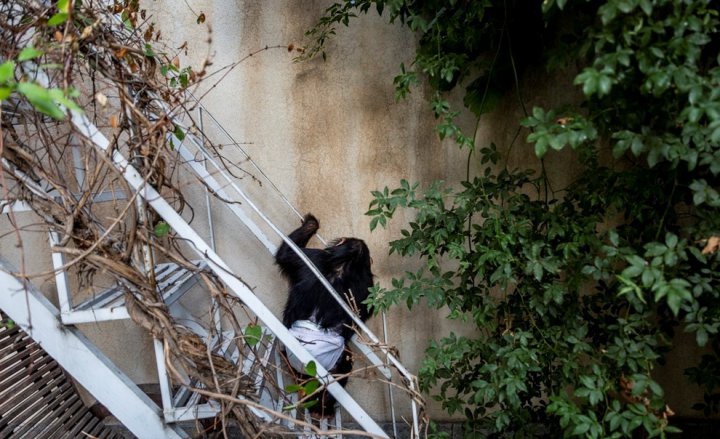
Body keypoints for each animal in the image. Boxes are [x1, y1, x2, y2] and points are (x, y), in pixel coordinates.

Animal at [276, 213, 374, 416]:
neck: (345, 264)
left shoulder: (313, 256)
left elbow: (286, 253)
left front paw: (310, 223)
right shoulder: (314, 257)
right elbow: (288, 252)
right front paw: (311, 224)